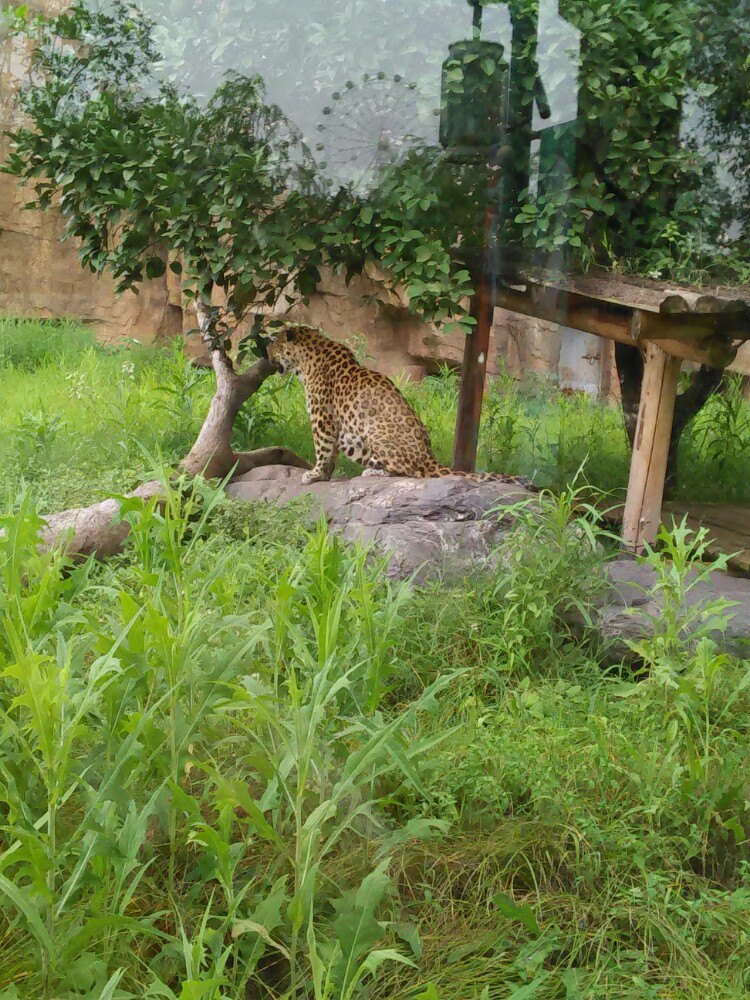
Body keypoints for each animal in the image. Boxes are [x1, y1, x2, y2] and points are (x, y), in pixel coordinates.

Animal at [268, 322, 536, 490]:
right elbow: (329, 453)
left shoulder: (322, 417)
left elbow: (322, 448)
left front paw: (314, 474)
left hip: (375, 432)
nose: (266, 355)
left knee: (411, 473)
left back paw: (374, 473)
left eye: (275, 345)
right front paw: (324, 476)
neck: (306, 360)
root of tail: (429, 457)